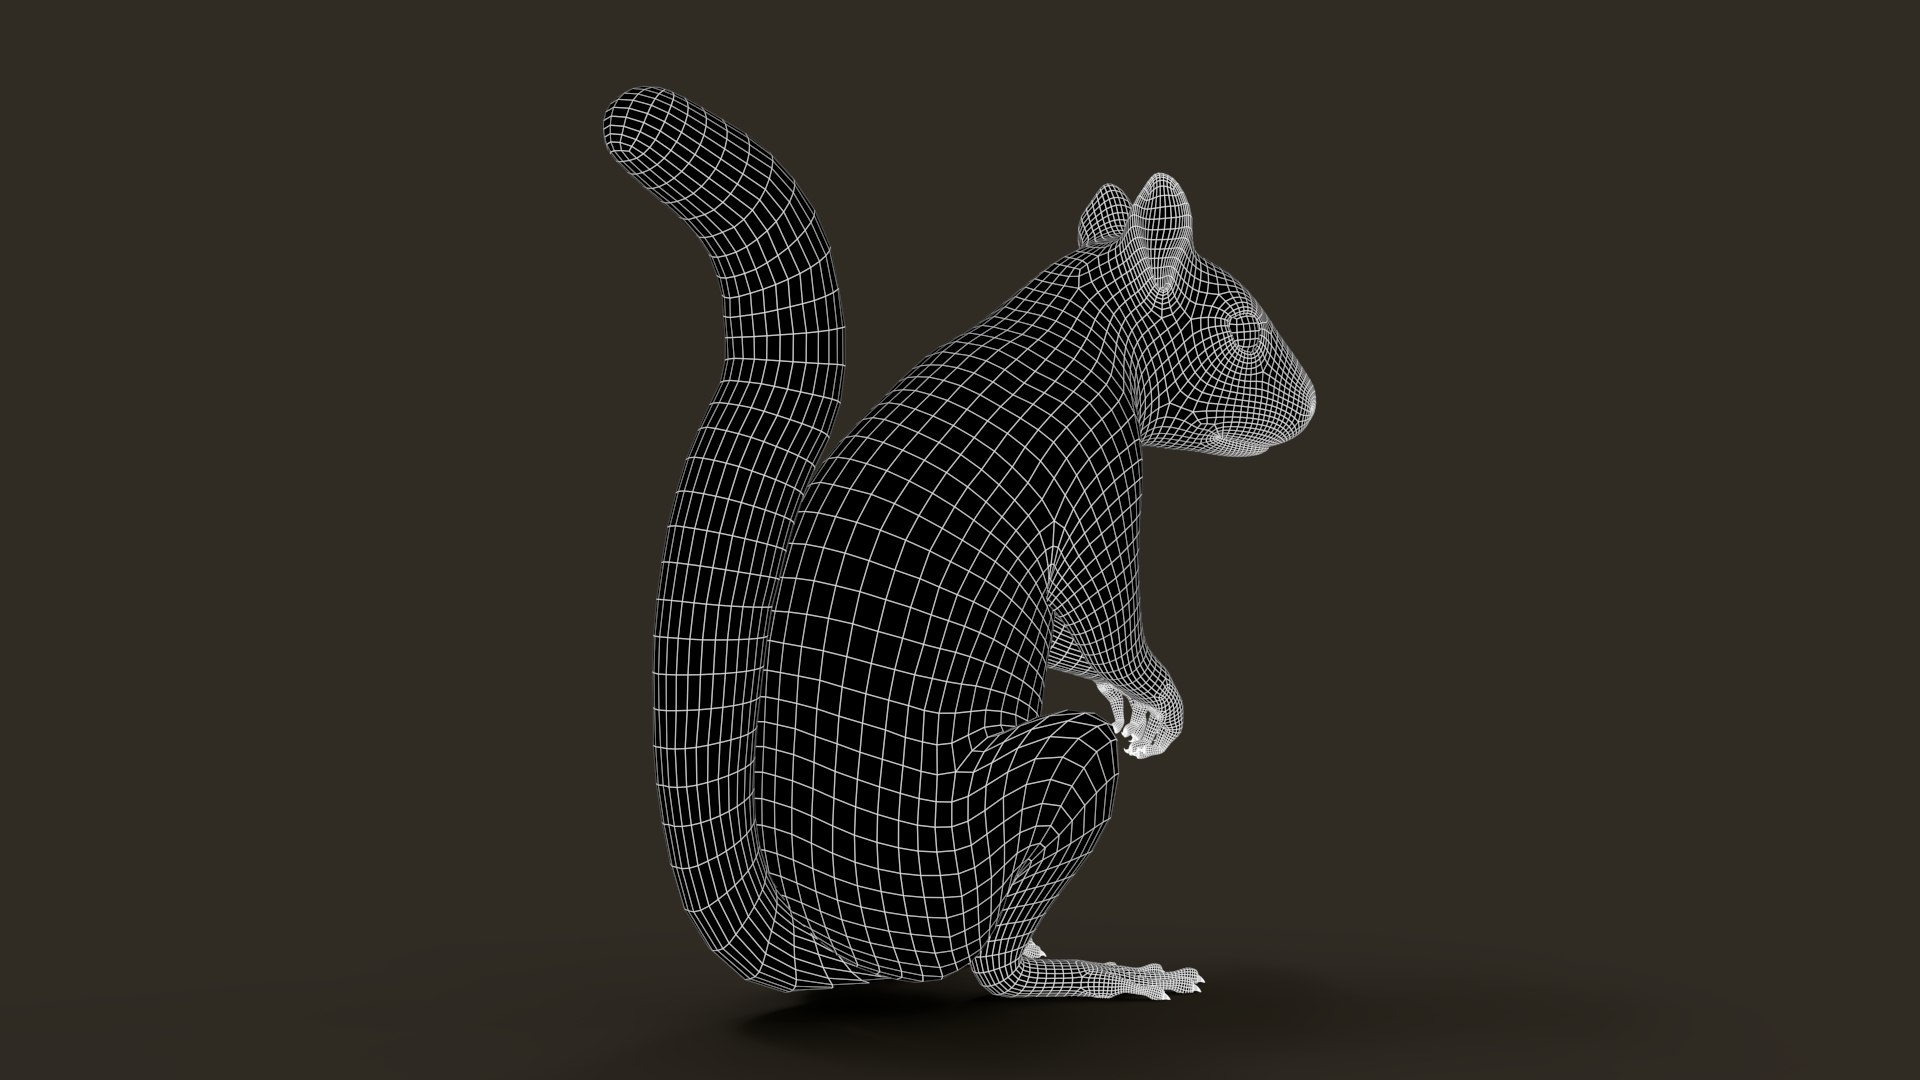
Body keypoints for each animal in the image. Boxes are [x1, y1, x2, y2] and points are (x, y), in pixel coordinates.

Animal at [605, 87, 1314, 1000]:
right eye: (1242, 332)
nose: (1312, 407)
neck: (1076, 323)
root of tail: (849, 951)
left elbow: (1070, 632)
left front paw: (1125, 699)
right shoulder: (1100, 451)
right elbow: (1104, 612)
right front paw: (1157, 699)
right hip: (994, 821)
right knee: (993, 965)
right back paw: (1091, 972)